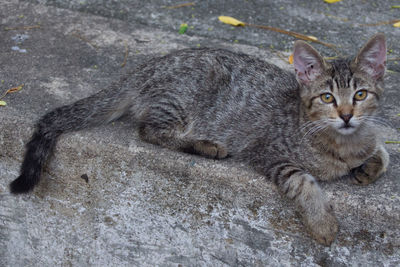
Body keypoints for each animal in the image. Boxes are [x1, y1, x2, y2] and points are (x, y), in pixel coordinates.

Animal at [10, 34, 390, 247]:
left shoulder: (368, 134)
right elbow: (303, 181)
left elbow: (382, 151)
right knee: (150, 130)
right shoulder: (268, 152)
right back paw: (206, 146)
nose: (346, 115)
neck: (341, 144)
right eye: (327, 98)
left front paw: (369, 165)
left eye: (360, 94)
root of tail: (148, 66)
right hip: (182, 99)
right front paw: (323, 223)